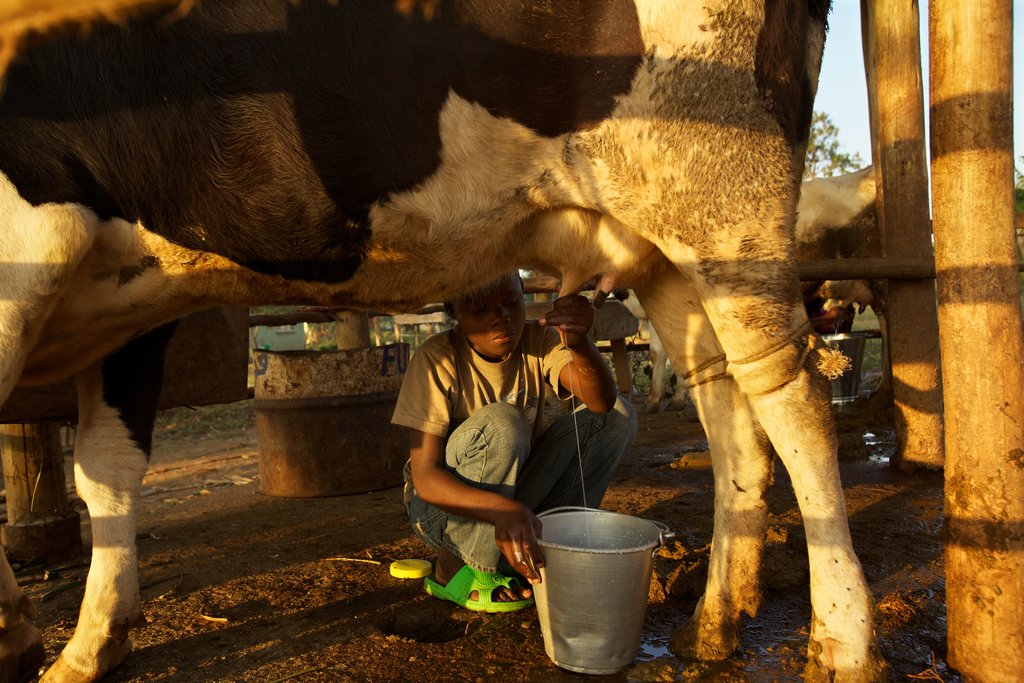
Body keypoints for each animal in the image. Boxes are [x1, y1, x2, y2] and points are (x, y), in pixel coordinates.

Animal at [0, 2, 887, 681]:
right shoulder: (130, 289)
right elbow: (107, 473)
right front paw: (83, 643)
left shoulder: (33, 231)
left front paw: (27, 633)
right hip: (666, 244)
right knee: (728, 406)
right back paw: (715, 622)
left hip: (725, 195)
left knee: (796, 398)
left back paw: (843, 639)